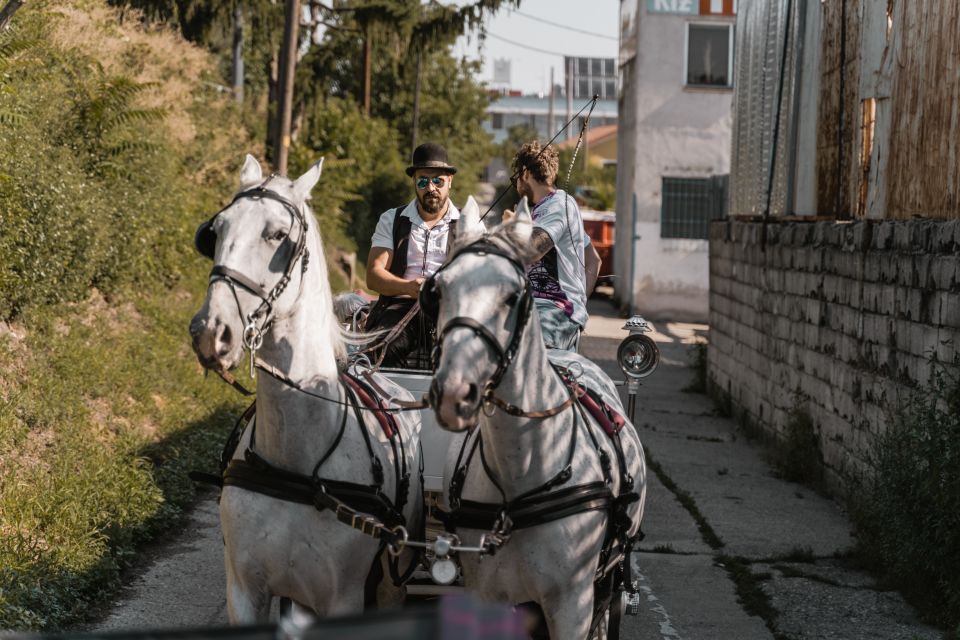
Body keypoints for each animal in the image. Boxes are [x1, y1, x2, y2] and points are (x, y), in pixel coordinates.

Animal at [189, 156, 422, 624]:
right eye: (215, 231)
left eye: (278, 235)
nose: (210, 332)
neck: (296, 463)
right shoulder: (244, 591)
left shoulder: (343, 599)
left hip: (393, 575)